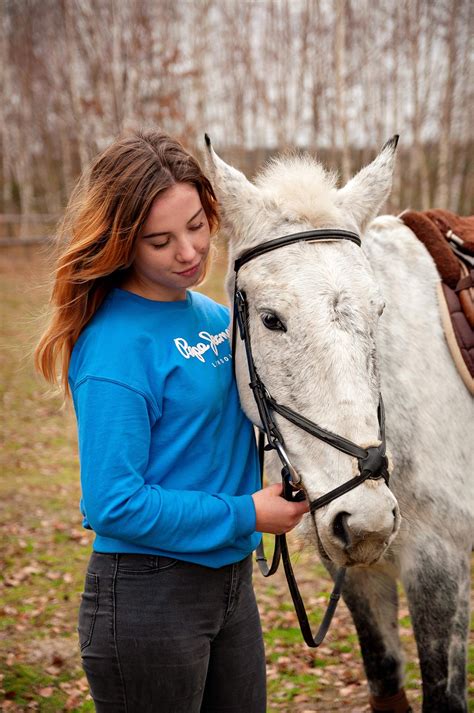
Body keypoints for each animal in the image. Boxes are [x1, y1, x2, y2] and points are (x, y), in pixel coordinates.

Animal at [206, 135, 472, 712]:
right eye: (271, 319)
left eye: (379, 312)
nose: (369, 519)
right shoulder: (353, 570)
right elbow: (385, 680)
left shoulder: (441, 565)